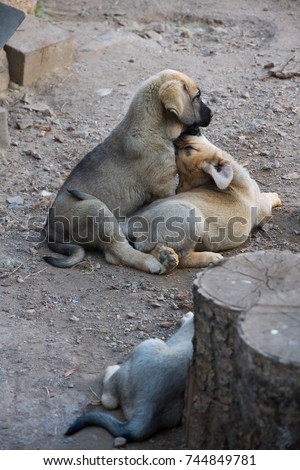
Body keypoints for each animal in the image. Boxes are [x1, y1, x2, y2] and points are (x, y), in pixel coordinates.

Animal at [43, 70, 211, 276]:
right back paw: (155, 262)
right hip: (96, 211)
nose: (212, 114)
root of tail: (49, 230)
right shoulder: (165, 188)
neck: (151, 128)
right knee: (117, 252)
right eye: (197, 96)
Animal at [127, 134, 282, 270]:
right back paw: (209, 257)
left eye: (189, 148)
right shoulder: (263, 207)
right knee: (182, 258)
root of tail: (133, 222)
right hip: (192, 219)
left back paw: (165, 255)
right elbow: (268, 198)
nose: (179, 136)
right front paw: (275, 196)